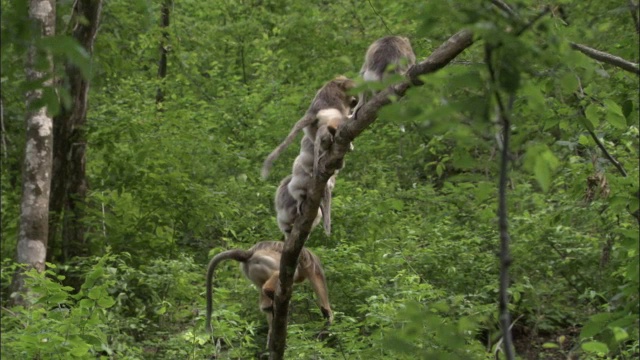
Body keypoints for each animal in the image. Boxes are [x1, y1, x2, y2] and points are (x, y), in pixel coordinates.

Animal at [206, 240, 336, 338]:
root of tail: (249, 252)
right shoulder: (309, 258)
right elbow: (317, 276)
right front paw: (328, 312)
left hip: (250, 270)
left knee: (262, 288)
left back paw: (267, 306)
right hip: (264, 259)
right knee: (286, 272)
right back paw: (269, 290)